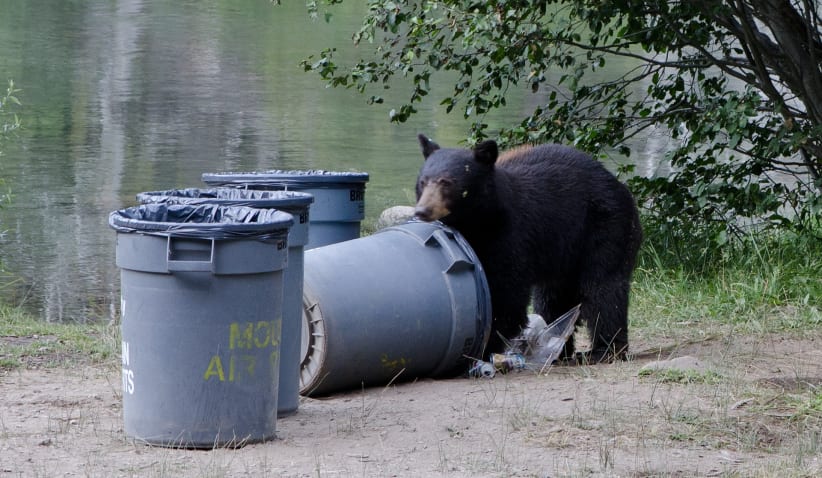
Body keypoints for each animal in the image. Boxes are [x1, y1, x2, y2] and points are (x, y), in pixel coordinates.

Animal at [414, 134, 643, 362]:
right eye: (423, 182)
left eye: (446, 182)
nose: (422, 211)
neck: (479, 221)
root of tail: (619, 185)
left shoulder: (510, 236)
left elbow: (507, 294)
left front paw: (485, 345)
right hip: (562, 252)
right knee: (553, 297)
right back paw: (558, 345)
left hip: (605, 225)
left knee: (603, 287)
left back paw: (604, 350)